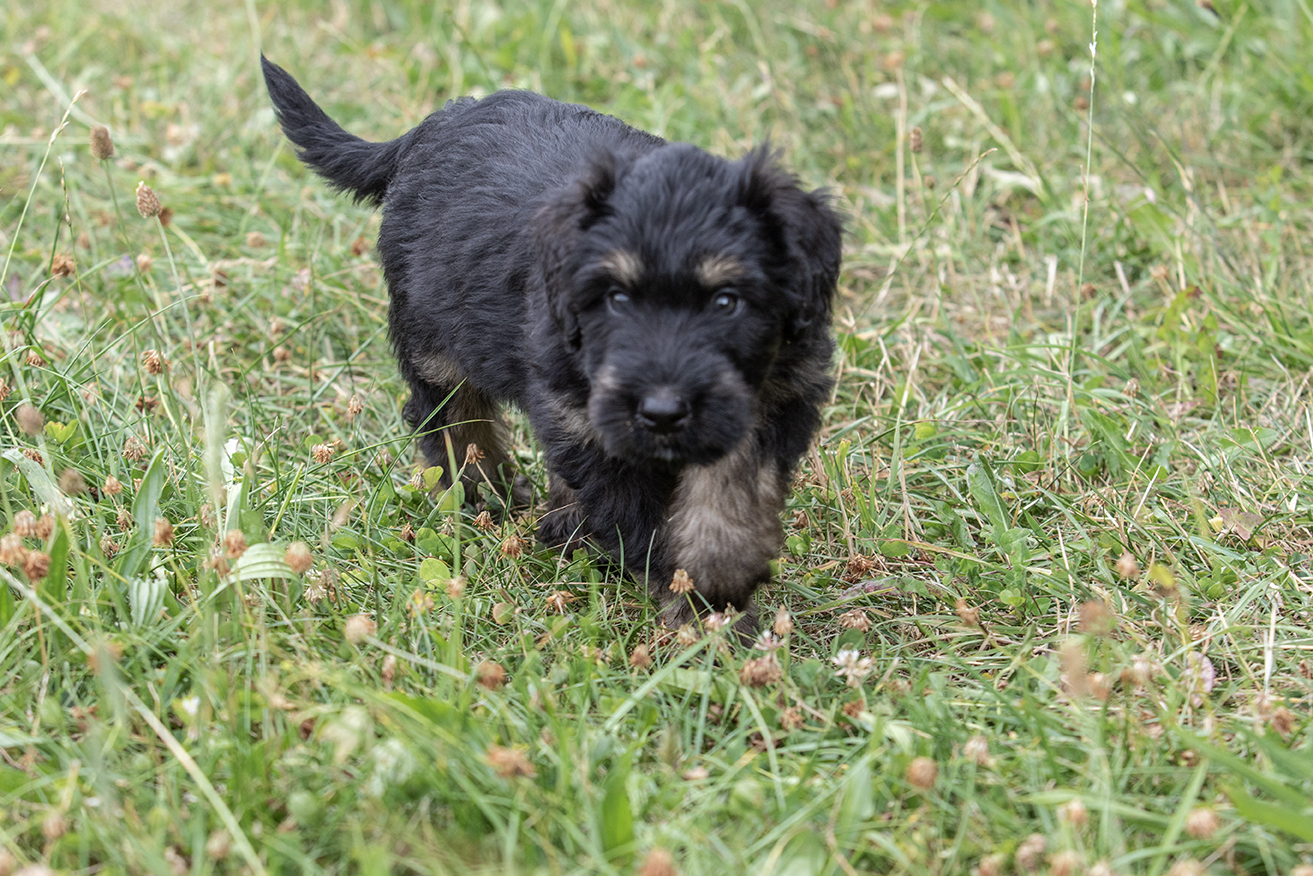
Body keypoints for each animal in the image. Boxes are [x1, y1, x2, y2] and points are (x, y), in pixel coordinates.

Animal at [262, 57, 842, 635]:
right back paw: (486, 499)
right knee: (452, 420)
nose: (662, 412)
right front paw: (695, 604)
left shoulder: (772, 400)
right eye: (615, 297)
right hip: (433, 339)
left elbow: (729, 495)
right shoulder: (586, 418)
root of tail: (427, 129)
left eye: (727, 300)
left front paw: (717, 588)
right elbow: (644, 514)